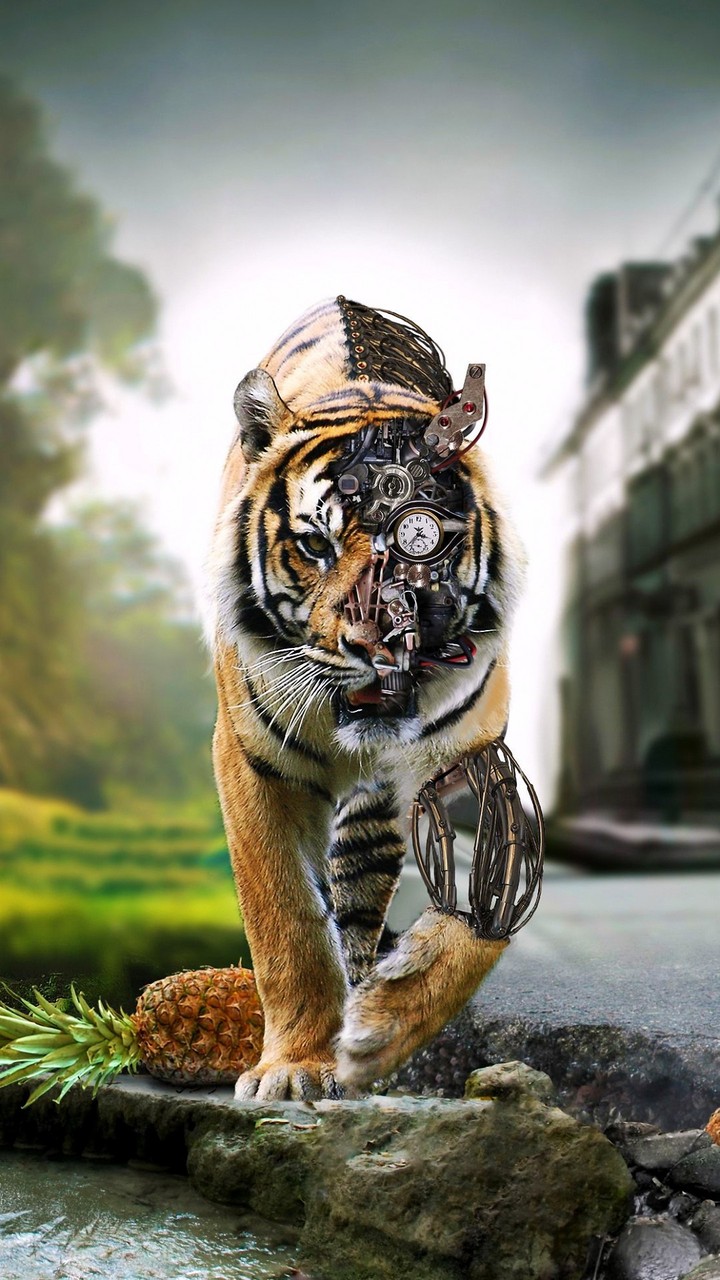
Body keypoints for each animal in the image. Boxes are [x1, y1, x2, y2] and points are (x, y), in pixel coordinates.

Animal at [208, 296, 526, 1100]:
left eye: (420, 542)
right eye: (315, 546)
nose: (379, 643)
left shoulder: (477, 760)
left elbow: (479, 919)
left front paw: (380, 1029)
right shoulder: (253, 762)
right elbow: (286, 918)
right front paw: (294, 1066)